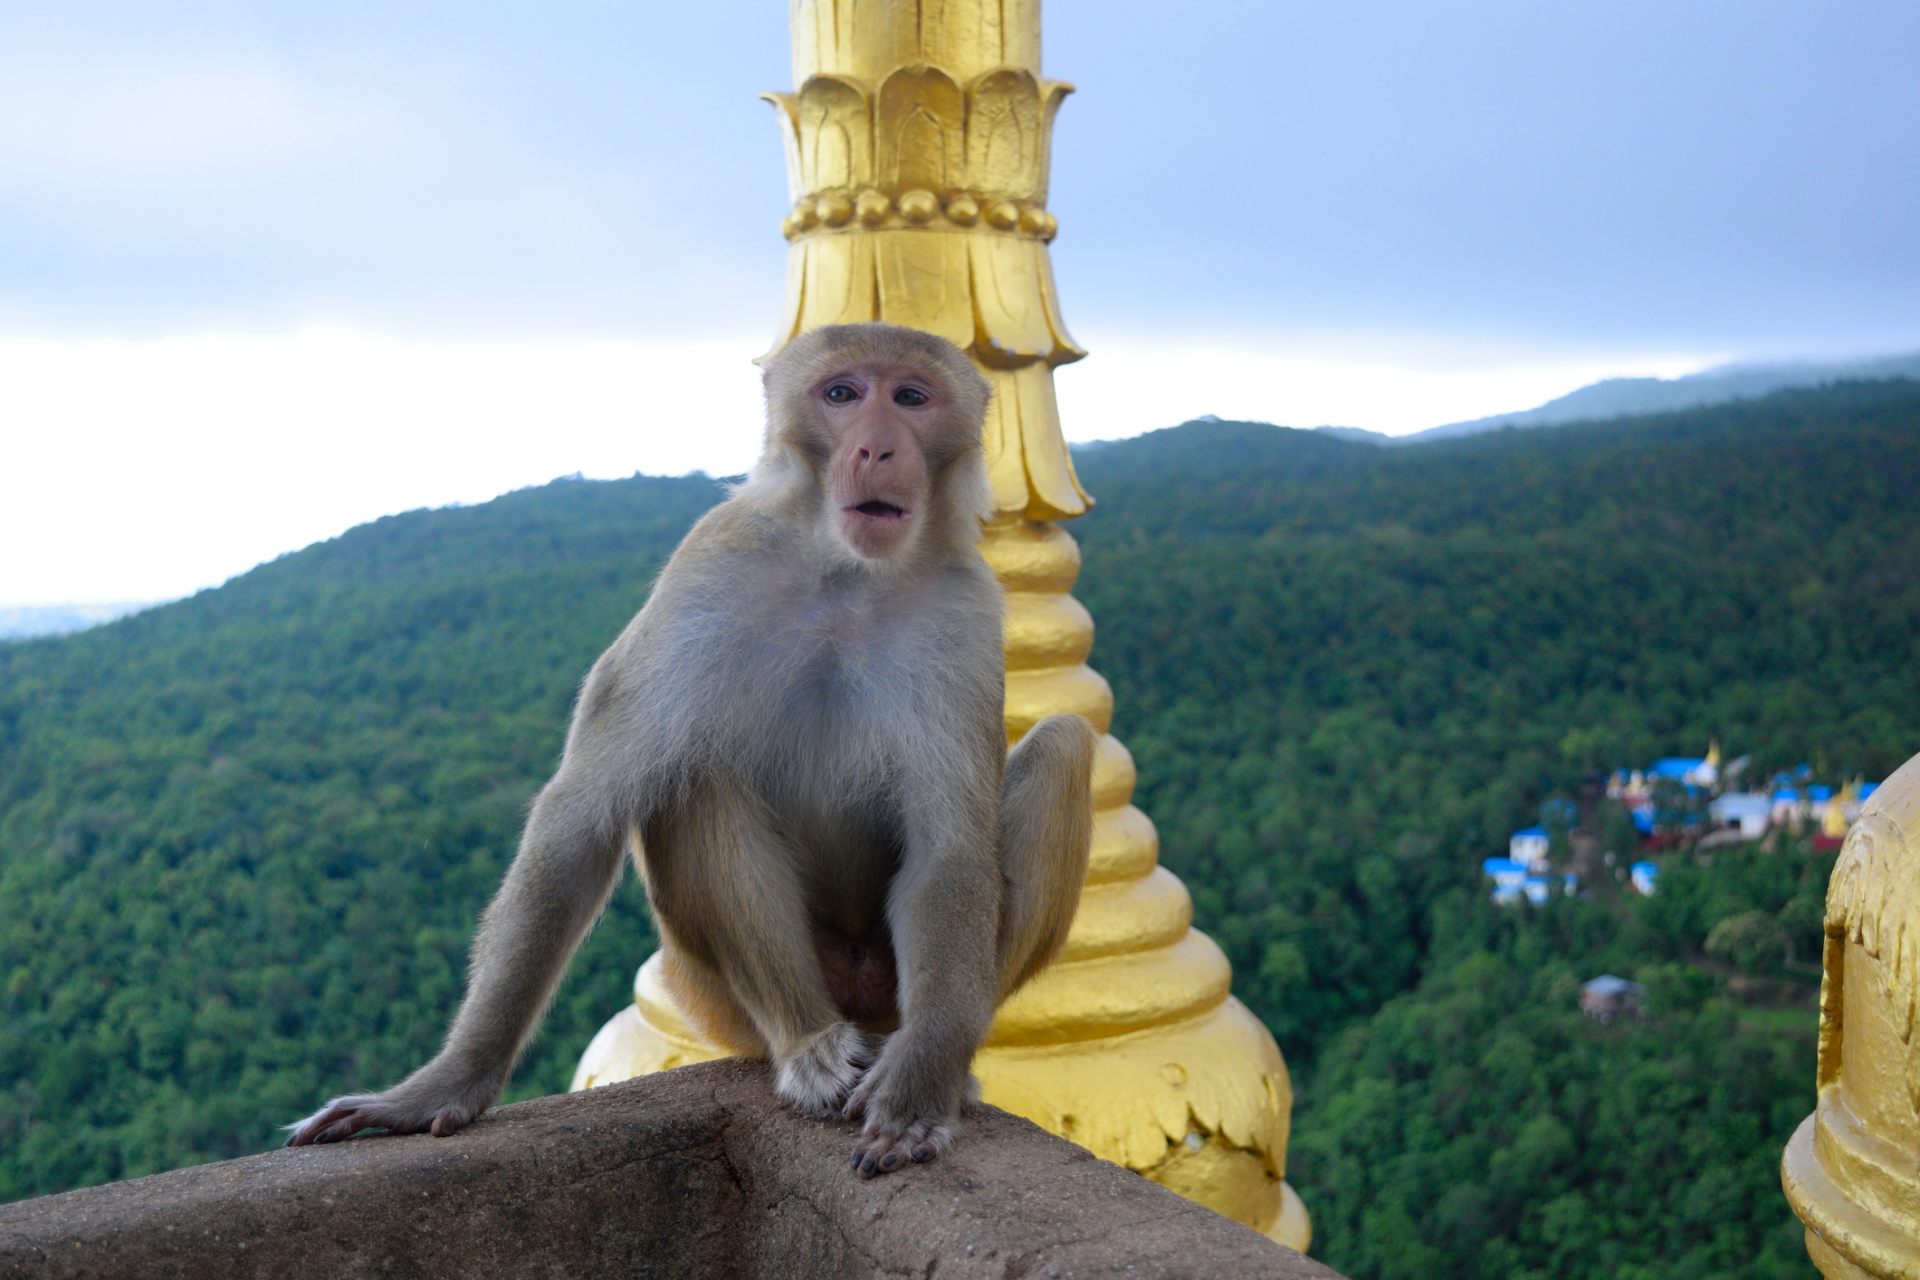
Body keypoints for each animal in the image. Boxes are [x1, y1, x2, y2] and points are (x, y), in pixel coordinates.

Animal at [284, 322, 1098, 1182]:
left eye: (910, 397)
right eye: (843, 394)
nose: (876, 446)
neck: (847, 572)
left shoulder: (965, 610)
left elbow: (949, 856)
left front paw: (920, 1087)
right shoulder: (708, 566)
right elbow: (582, 815)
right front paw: (445, 1083)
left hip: (882, 990)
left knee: (1064, 745)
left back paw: (940, 1069)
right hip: (714, 999)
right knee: (692, 776)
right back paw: (810, 1047)